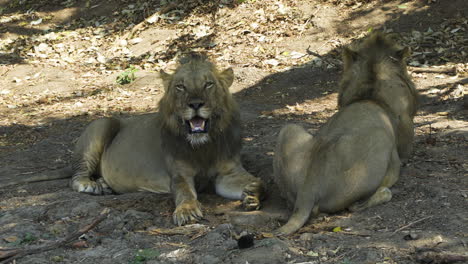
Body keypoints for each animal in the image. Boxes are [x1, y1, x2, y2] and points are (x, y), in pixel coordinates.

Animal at [0, 53, 264, 225]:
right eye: (180, 87)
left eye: (208, 84)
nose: (196, 104)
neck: (203, 146)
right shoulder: (179, 175)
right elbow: (185, 193)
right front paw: (187, 211)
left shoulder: (228, 173)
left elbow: (258, 181)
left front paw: (252, 194)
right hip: (102, 123)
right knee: (76, 177)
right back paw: (92, 185)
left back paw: (104, 184)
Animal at [272, 33, 418, 235]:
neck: (370, 95)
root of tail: (307, 192)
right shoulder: (404, 128)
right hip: (381, 146)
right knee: (356, 205)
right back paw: (383, 194)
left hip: (289, 129)